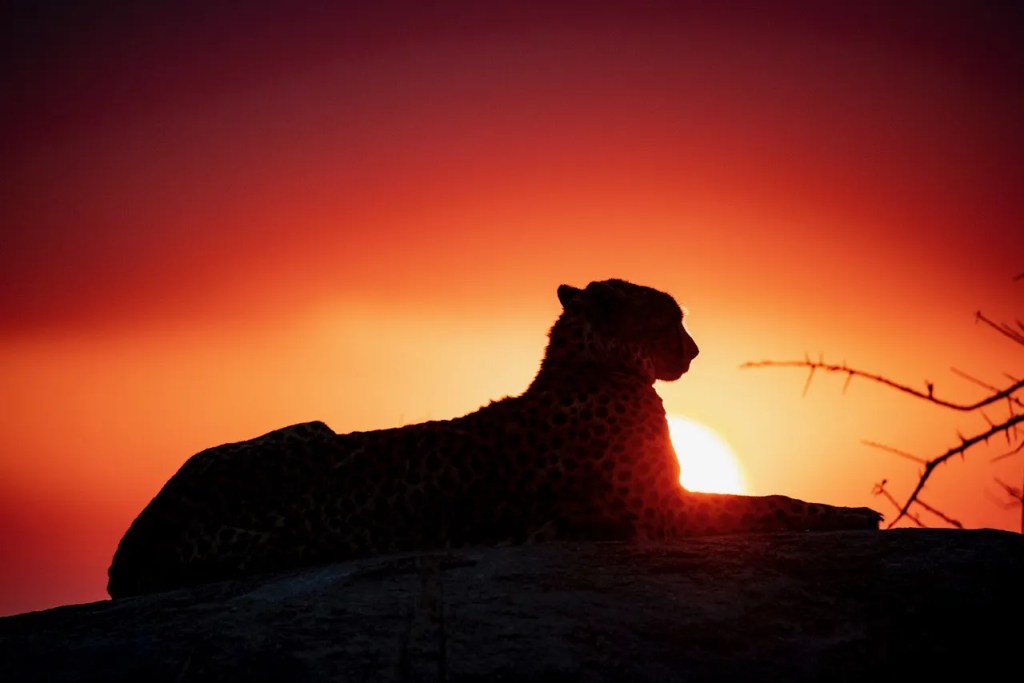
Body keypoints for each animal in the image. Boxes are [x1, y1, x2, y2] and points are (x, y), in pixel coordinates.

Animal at [107, 279, 881, 598]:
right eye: (670, 318)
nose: (694, 350)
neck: (591, 363)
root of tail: (138, 533)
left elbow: (763, 498)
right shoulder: (662, 513)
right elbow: (767, 502)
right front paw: (851, 513)